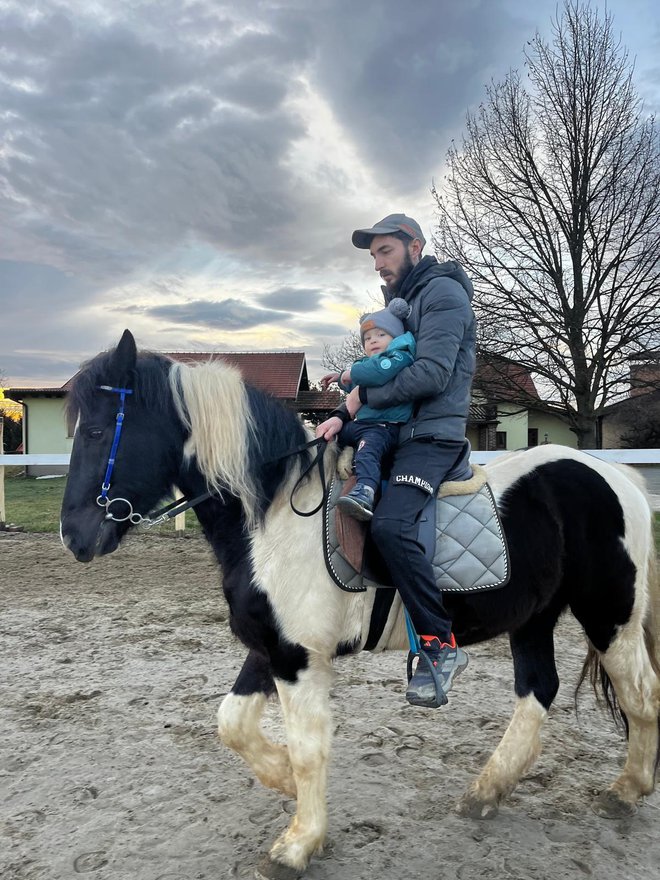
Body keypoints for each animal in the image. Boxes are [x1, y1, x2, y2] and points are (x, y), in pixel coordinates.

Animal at [59, 332, 656, 880]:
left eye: (96, 430)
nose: (74, 538)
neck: (274, 517)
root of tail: (616, 475)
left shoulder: (299, 657)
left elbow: (307, 748)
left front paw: (299, 841)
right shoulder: (273, 646)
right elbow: (233, 723)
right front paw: (281, 779)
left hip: (610, 614)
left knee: (640, 694)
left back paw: (626, 790)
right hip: (533, 617)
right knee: (538, 690)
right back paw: (486, 792)